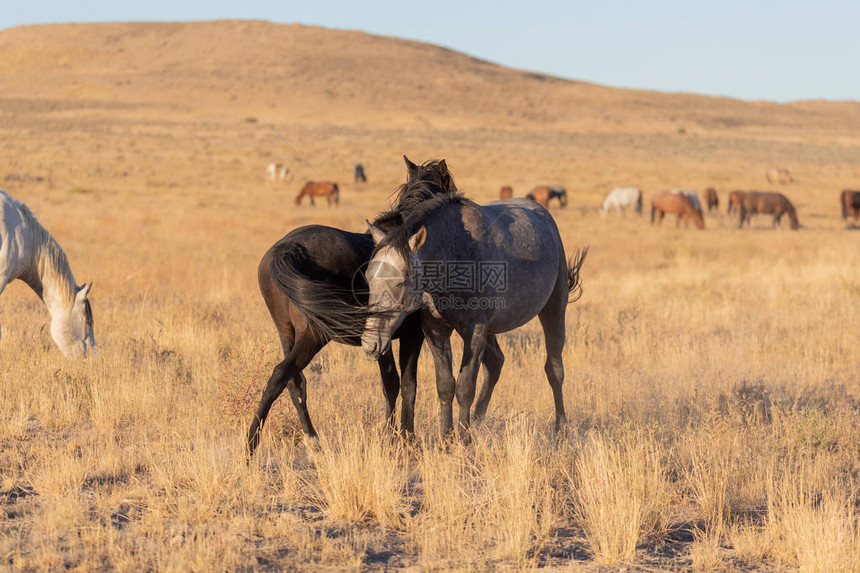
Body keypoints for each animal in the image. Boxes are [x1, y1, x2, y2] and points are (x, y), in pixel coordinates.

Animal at [360, 192, 588, 438]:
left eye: (401, 282)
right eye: (368, 276)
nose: (371, 343)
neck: (456, 257)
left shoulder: (475, 330)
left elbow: (465, 386)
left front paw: (464, 437)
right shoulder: (435, 330)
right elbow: (446, 385)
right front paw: (446, 437)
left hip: (554, 310)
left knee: (554, 369)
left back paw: (561, 426)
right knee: (496, 364)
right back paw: (478, 422)